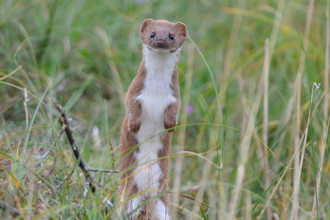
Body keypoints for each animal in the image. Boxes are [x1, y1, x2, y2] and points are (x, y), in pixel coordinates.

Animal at [118, 19, 187, 220]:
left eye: (171, 35)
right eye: (153, 34)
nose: (161, 42)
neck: (156, 92)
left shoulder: (174, 97)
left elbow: (175, 110)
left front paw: (170, 125)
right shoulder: (135, 91)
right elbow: (131, 105)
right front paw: (134, 125)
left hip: (162, 201)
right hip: (130, 195)